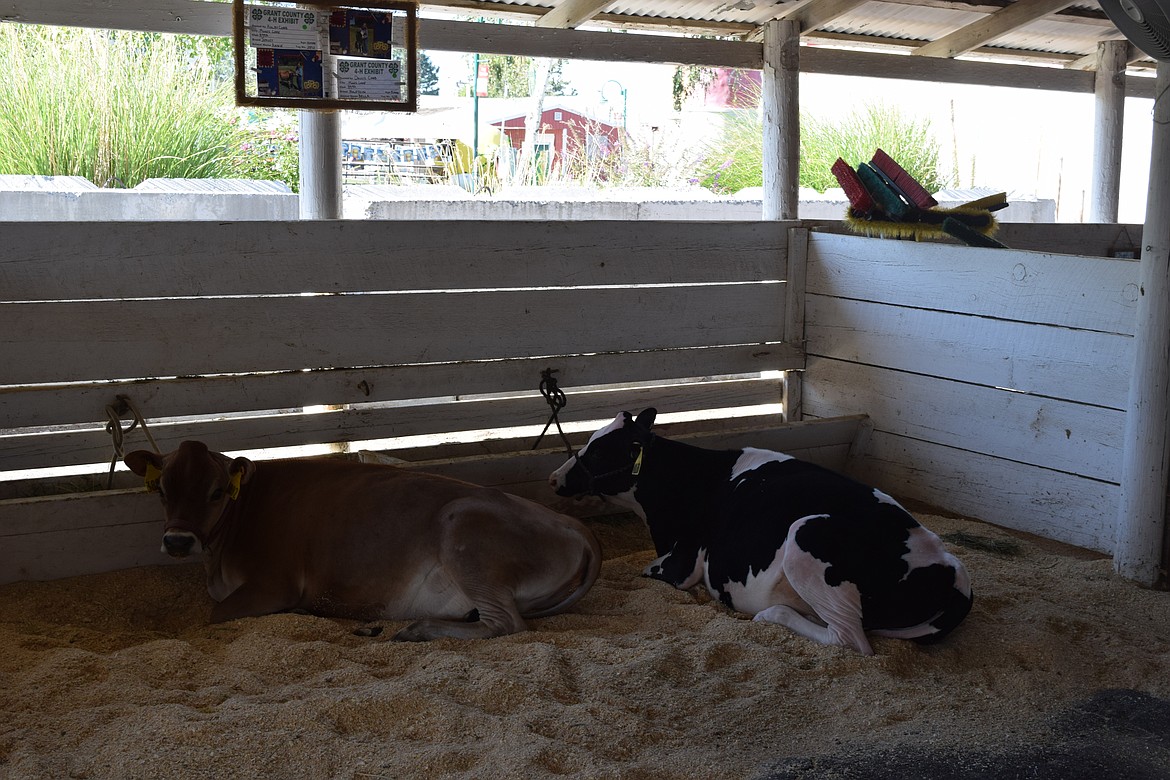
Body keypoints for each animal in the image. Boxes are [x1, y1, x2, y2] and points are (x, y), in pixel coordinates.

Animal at [125, 442, 603, 636]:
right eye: (161, 489)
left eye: (217, 491)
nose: (178, 542)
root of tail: (575, 526)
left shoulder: (273, 583)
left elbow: (213, 616)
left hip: (465, 530)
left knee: (506, 623)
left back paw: (418, 630)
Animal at [552, 411, 973, 654]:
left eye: (598, 452)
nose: (554, 477)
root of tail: (949, 567)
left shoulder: (680, 562)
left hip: (806, 533)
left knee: (850, 638)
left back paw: (773, 615)